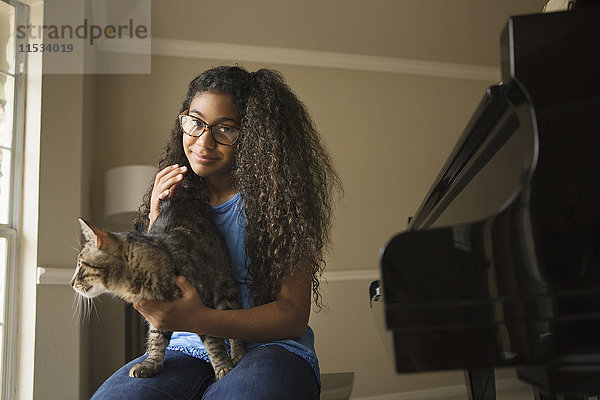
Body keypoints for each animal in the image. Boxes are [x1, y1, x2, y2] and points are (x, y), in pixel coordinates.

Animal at [71, 196, 246, 378]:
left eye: (80, 264)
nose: (71, 282)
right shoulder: (157, 318)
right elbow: (156, 340)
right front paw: (150, 364)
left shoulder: (202, 307)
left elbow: (214, 343)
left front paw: (222, 367)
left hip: (225, 283)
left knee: (231, 317)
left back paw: (238, 353)